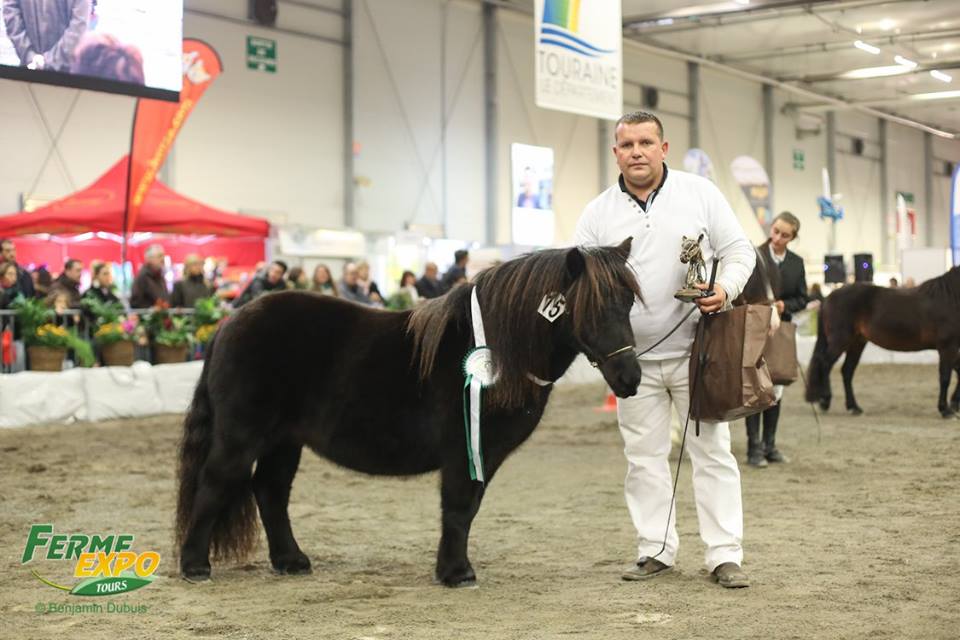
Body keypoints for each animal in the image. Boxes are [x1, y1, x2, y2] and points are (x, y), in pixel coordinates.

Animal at [178, 239, 644, 584]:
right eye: (591, 306)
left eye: (628, 303)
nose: (630, 377)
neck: (498, 349)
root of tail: (230, 322)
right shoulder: (462, 449)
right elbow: (458, 507)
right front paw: (456, 573)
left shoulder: (483, 456)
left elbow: (469, 507)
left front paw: (452, 568)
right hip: (241, 435)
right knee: (216, 483)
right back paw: (195, 566)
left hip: (283, 441)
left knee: (270, 491)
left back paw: (291, 561)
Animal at [804, 268, 960, 418]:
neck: (951, 298)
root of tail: (828, 298)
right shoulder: (947, 347)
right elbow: (945, 378)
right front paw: (945, 410)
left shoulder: (952, 348)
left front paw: (954, 404)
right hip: (840, 341)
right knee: (825, 364)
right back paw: (825, 400)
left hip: (856, 343)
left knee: (847, 371)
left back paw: (853, 407)